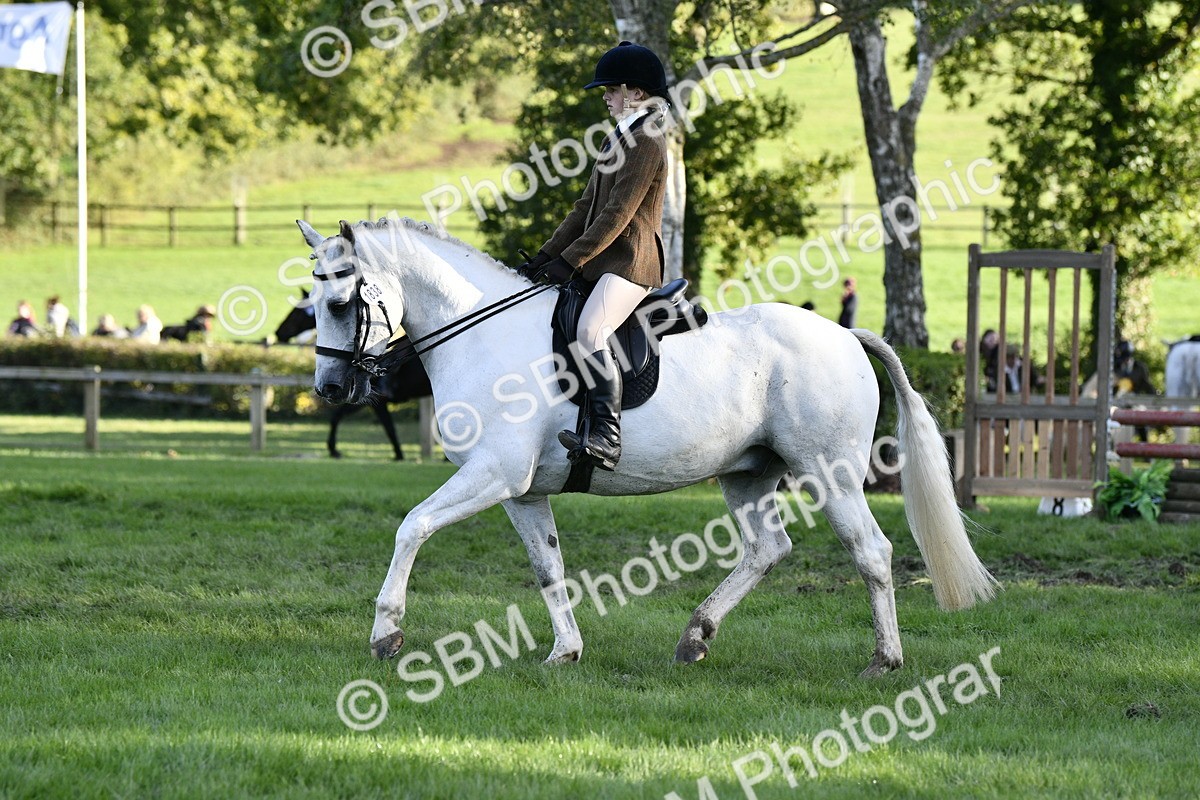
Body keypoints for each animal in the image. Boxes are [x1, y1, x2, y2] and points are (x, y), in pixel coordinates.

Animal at [297, 217, 998, 677]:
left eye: (341, 301)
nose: (330, 388)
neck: (480, 334)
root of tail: (847, 333)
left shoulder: (495, 473)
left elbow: (412, 527)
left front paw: (387, 634)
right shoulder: (520, 491)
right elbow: (548, 568)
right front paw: (565, 652)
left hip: (829, 472)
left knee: (871, 552)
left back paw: (884, 660)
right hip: (748, 474)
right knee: (768, 548)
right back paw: (695, 637)